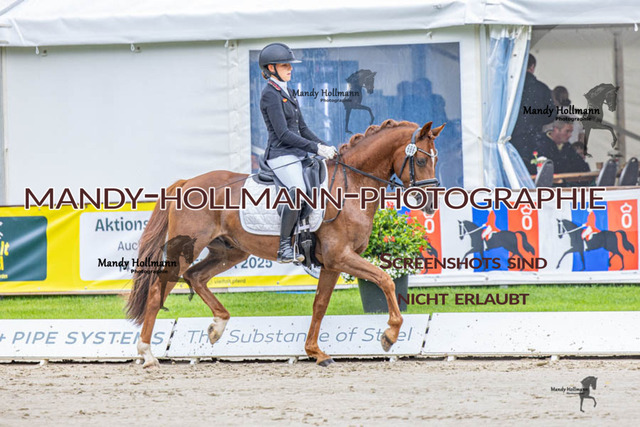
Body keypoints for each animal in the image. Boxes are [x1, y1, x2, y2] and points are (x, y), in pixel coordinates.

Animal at [126, 119, 444, 368]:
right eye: (420, 160)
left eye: (436, 159)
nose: (430, 205)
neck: (350, 184)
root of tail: (183, 183)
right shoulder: (340, 256)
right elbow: (385, 280)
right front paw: (389, 335)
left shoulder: (332, 263)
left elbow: (320, 304)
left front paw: (315, 352)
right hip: (185, 250)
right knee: (157, 291)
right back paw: (148, 354)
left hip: (230, 251)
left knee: (195, 277)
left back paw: (218, 326)